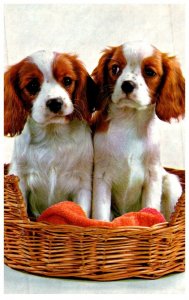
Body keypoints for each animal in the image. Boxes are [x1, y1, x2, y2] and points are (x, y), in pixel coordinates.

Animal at [4, 50, 97, 217]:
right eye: (32, 85)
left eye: (67, 80)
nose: (55, 102)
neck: (52, 135)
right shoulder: (20, 177)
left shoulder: (83, 183)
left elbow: (81, 213)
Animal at [91, 41, 185, 221]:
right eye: (115, 69)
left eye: (149, 72)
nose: (127, 84)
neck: (130, 120)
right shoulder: (101, 177)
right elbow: (100, 215)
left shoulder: (153, 176)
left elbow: (150, 208)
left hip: (171, 183)